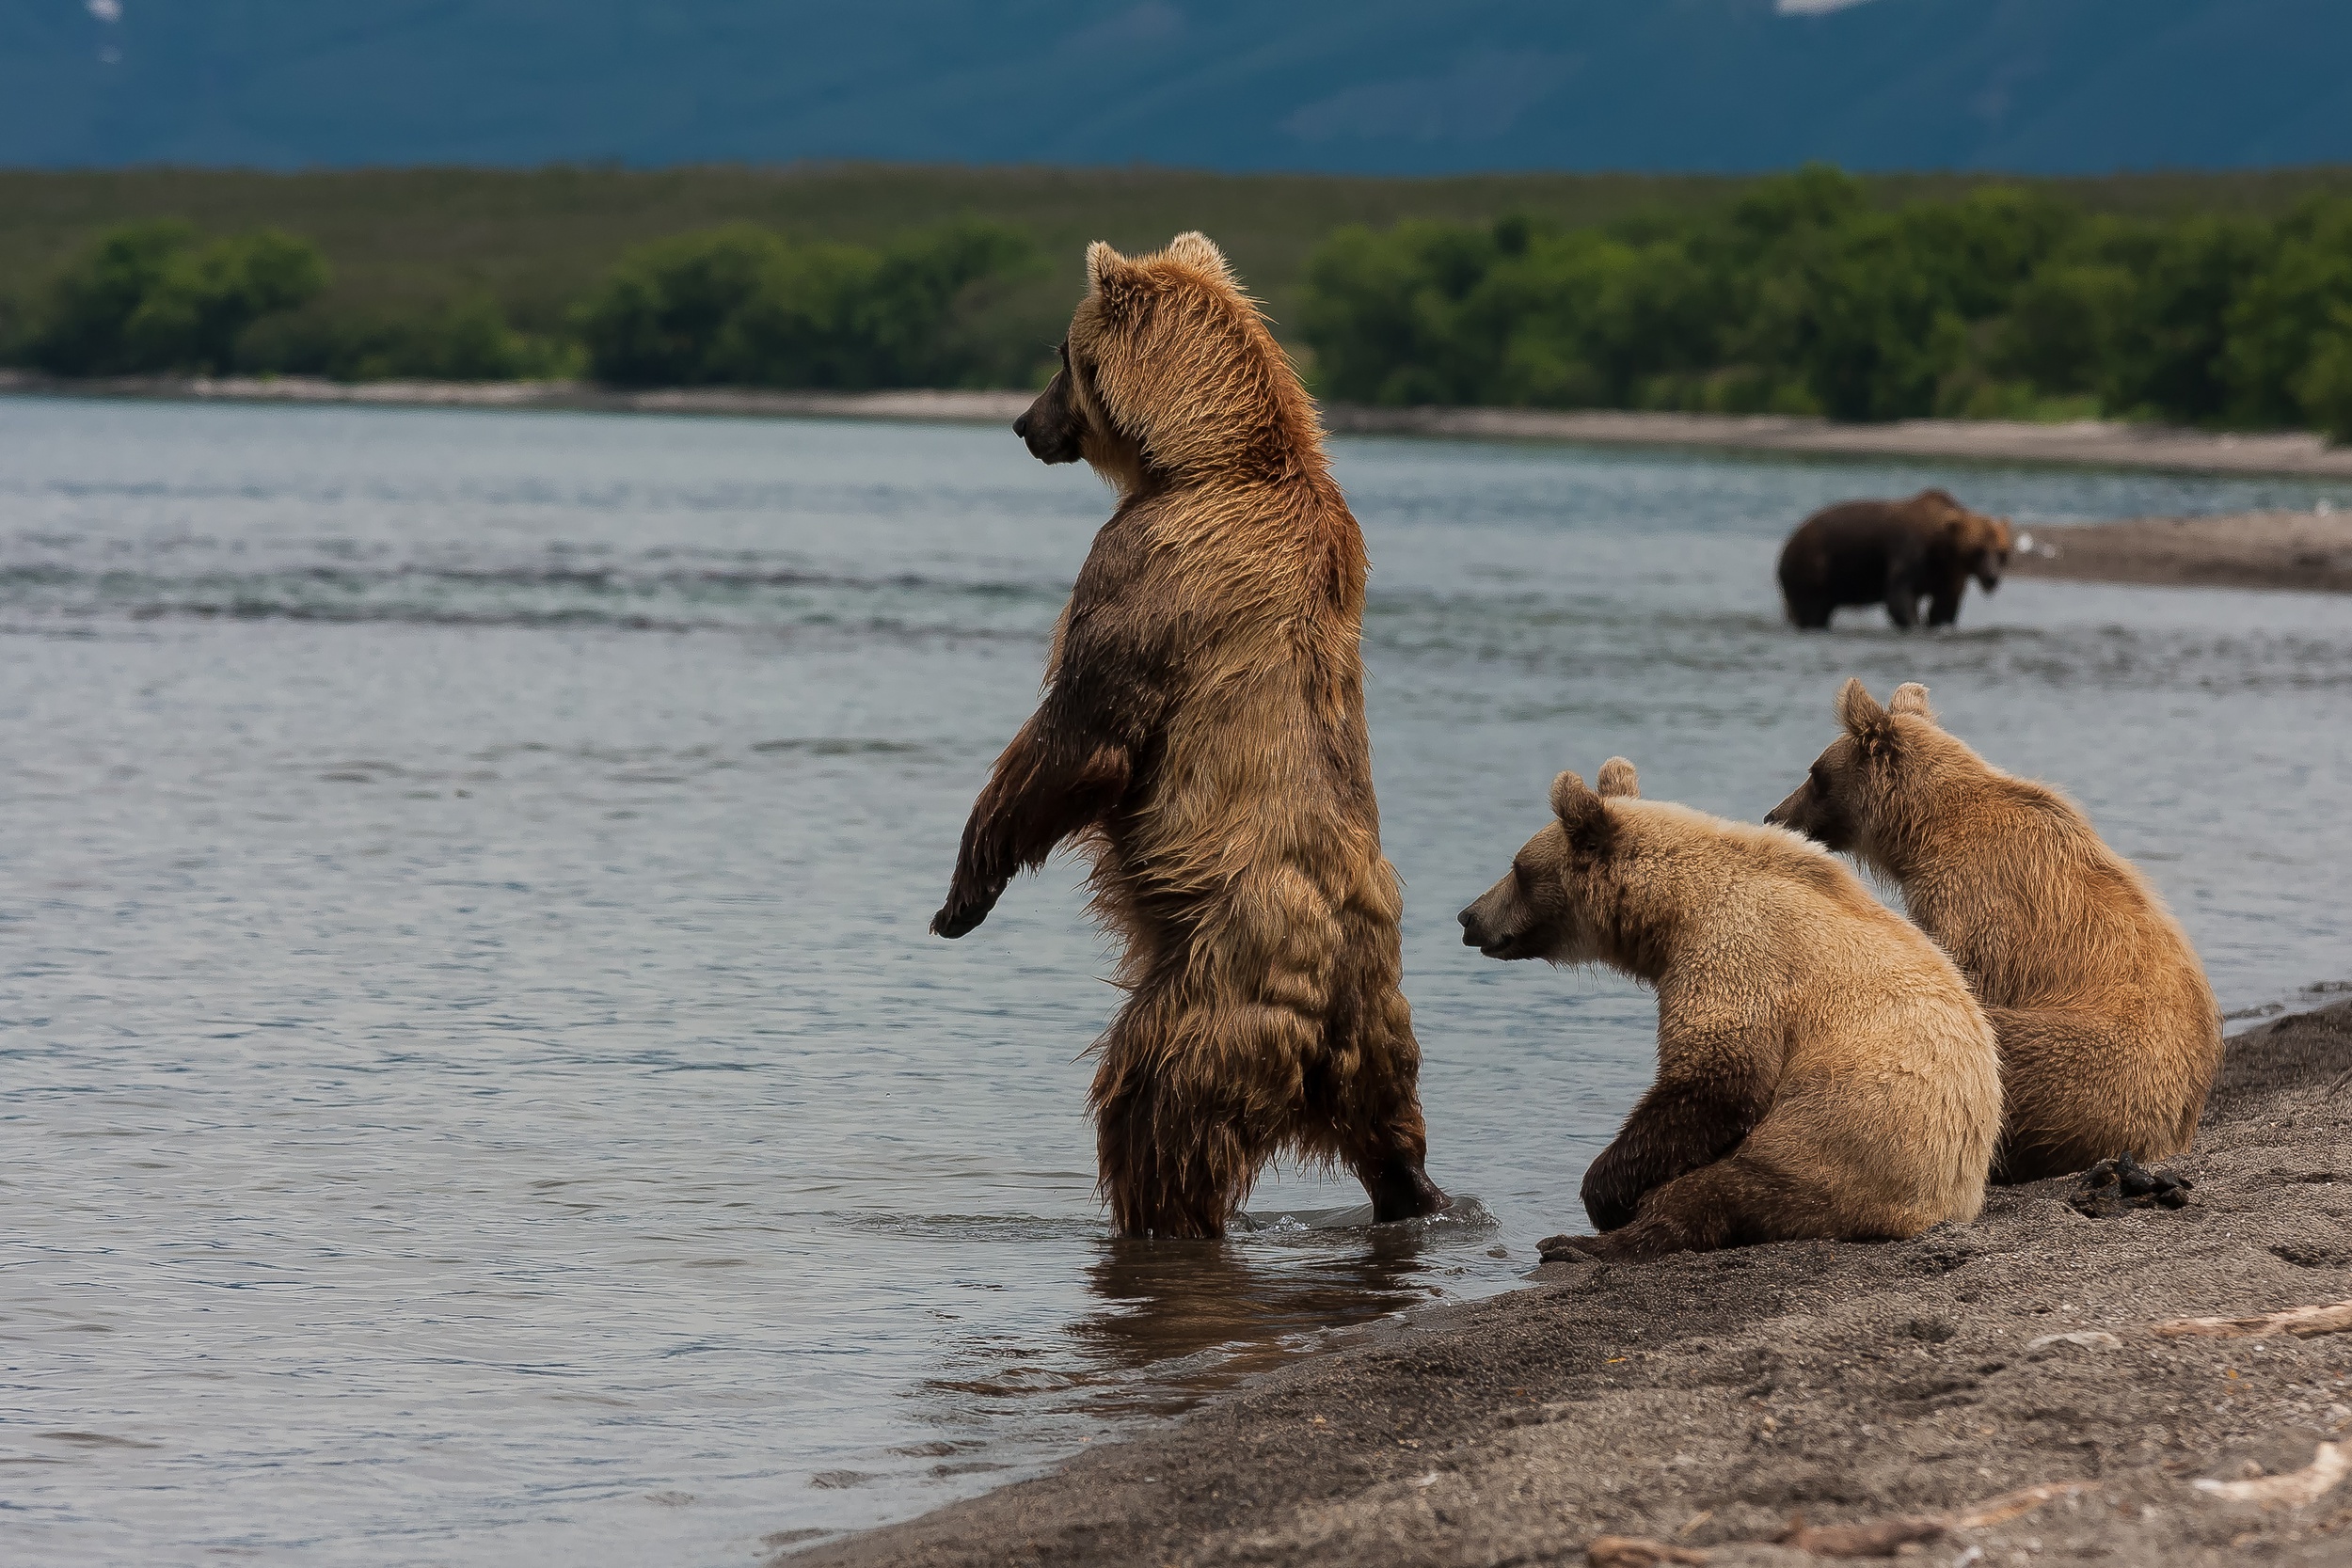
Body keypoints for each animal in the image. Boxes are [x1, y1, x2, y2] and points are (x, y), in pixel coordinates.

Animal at [927, 230, 1439, 1241]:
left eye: (1060, 355)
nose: (1023, 424)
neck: (1204, 459)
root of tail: (1329, 1004)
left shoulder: (1147, 566)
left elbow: (1084, 732)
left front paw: (963, 891)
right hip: (1381, 1027)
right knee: (1395, 1127)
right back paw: (1416, 1198)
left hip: (1213, 987)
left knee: (1152, 1108)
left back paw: (1155, 1209)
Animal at [1769, 493, 2013, 634]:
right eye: (1978, 550)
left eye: (2002, 552)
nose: (1992, 578)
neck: (1941, 549)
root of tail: (1788, 542)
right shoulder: (1910, 554)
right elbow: (1899, 597)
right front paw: (1915, 623)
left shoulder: (1951, 573)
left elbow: (1944, 606)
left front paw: (1938, 622)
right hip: (1813, 566)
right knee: (1810, 610)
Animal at [1769, 681, 2211, 1184]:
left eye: (1815, 774)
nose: (1774, 815)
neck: (1923, 831)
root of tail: (2169, 1133)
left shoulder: (1975, 901)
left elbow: (1960, 980)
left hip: (2097, 1062)